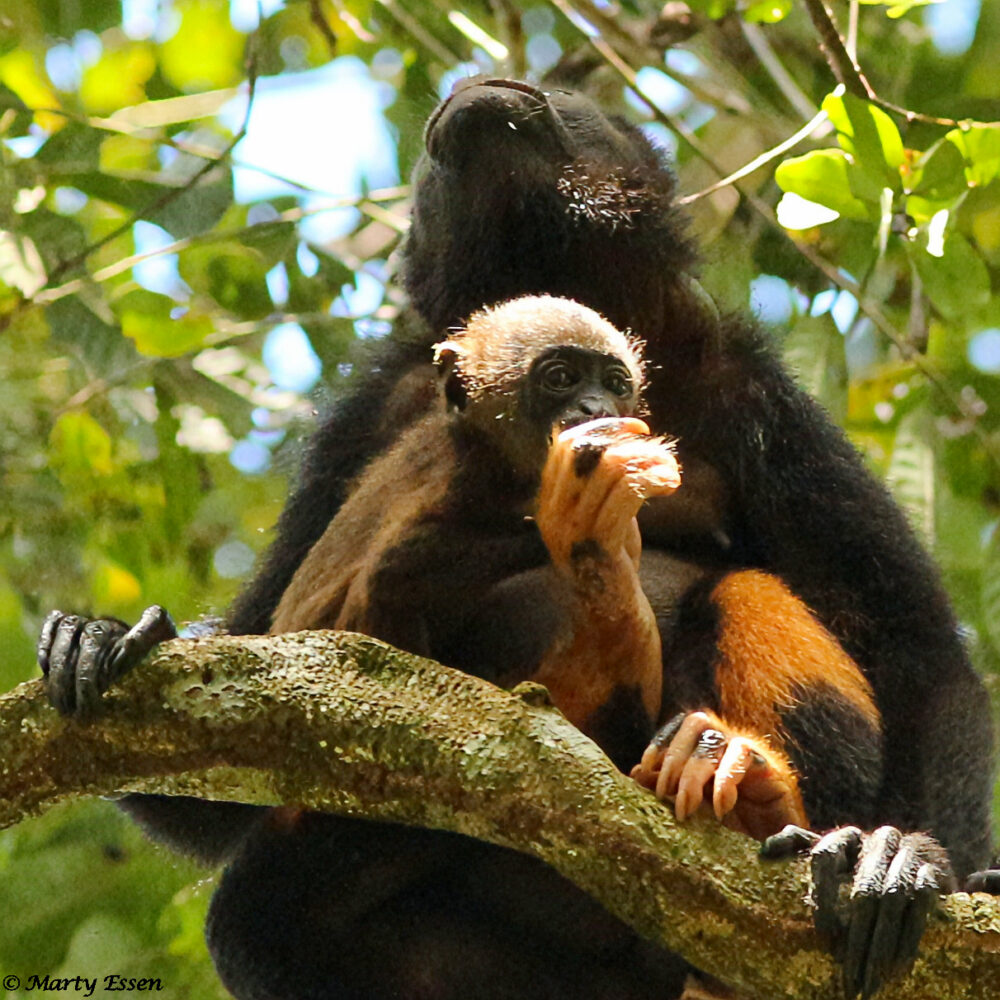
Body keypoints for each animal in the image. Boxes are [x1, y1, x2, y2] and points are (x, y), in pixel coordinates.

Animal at [37, 78, 995, 999]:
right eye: (558, 377)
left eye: (566, 97)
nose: (476, 90)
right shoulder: (374, 409)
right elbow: (253, 712)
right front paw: (109, 637)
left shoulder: (754, 394)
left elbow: (919, 657)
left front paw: (909, 862)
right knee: (254, 915)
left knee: (743, 593)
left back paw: (762, 799)